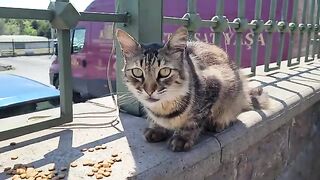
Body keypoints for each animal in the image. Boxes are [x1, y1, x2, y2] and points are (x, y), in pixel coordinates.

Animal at [115, 26, 268, 151]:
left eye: (165, 72)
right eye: (137, 72)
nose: (149, 90)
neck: (164, 109)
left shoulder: (214, 85)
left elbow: (193, 122)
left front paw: (182, 138)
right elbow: (156, 122)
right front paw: (157, 129)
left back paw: (219, 122)